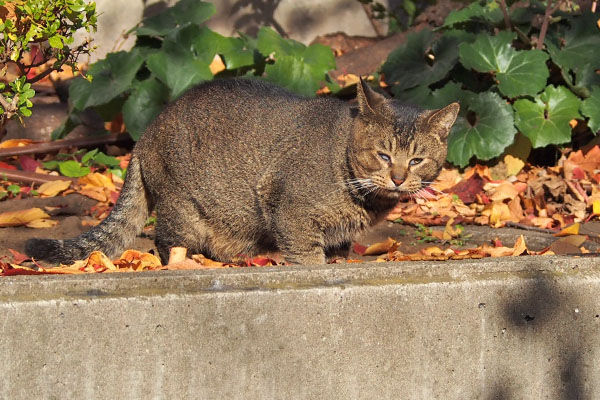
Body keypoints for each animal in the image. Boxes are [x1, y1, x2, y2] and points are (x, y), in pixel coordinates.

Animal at [25, 78, 460, 266]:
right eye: (383, 156)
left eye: (417, 160)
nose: (399, 178)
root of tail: (147, 131)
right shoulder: (289, 209)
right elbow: (308, 257)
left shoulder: (339, 234)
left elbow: (337, 253)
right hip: (181, 209)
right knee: (167, 245)